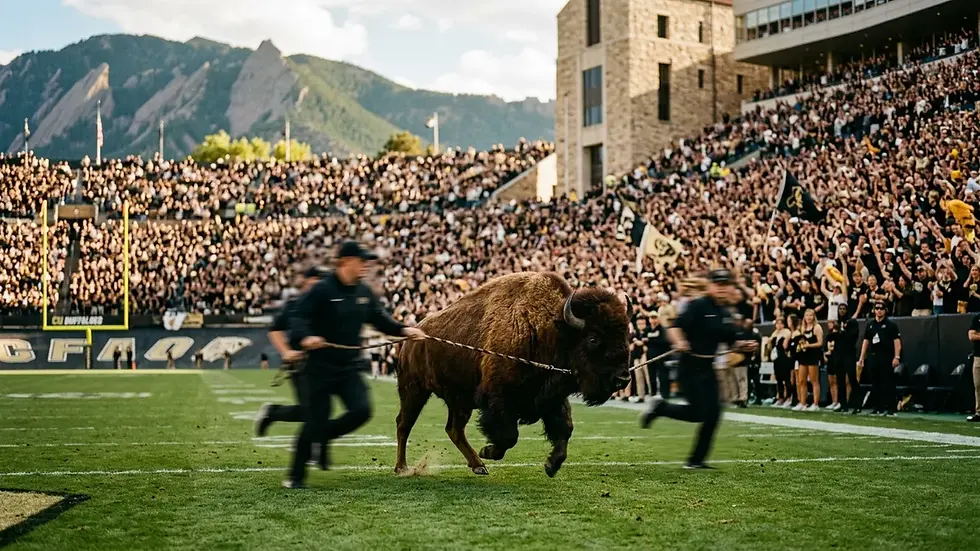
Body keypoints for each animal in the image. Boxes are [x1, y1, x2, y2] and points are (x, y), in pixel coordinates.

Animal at [394, 272, 632, 477]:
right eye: (593, 338)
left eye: (627, 335)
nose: (623, 379)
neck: (549, 329)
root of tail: (411, 335)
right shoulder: (499, 399)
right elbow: (509, 436)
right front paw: (488, 451)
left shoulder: (551, 398)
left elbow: (565, 429)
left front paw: (551, 465)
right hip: (414, 391)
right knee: (404, 424)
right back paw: (402, 468)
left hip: (459, 400)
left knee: (454, 429)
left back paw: (478, 465)